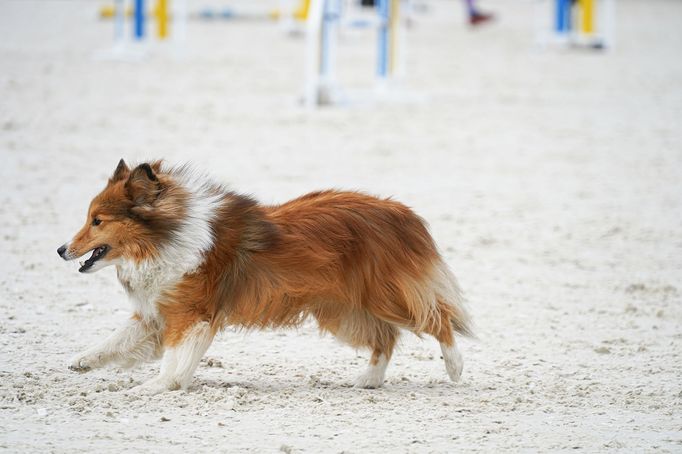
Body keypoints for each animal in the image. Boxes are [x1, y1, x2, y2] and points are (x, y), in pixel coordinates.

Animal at [55, 160, 470, 394]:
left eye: (97, 221)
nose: (60, 250)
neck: (166, 237)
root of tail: (401, 212)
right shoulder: (158, 314)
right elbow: (116, 340)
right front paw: (82, 361)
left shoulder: (190, 315)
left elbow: (173, 358)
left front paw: (157, 386)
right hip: (341, 309)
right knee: (386, 338)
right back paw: (369, 379)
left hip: (385, 296)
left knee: (439, 319)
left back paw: (454, 367)